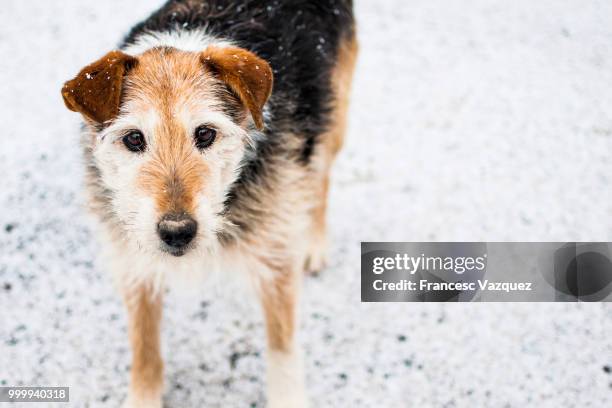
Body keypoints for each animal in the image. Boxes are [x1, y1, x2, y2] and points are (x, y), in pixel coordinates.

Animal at [60, 0, 356, 408]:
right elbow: (144, 348)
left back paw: (313, 243)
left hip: (331, 119)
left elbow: (282, 351)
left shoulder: (276, 258)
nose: (177, 232)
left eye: (205, 133)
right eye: (134, 138)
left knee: (321, 174)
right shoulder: (134, 263)